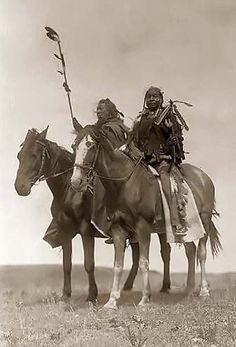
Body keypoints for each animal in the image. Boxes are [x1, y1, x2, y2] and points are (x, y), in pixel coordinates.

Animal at [14, 127, 140, 302]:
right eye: (19, 155)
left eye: (34, 155)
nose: (20, 187)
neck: (69, 192)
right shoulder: (65, 231)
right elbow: (66, 264)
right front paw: (65, 294)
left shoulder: (86, 230)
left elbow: (89, 264)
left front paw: (92, 295)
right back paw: (129, 286)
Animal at [70, 126, 221, 312]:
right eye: (74, 147)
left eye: (90, 146)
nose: (76, 182)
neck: (125, 183)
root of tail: (204, 177)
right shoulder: (118, 230)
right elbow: (118, 265)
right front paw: (112, 301)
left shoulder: (143, 227)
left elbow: (143, 262)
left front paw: (145, 299)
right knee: (190, 251)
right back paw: (188, 292)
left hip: (204, 220)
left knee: (201, 252)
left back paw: (204, 292)